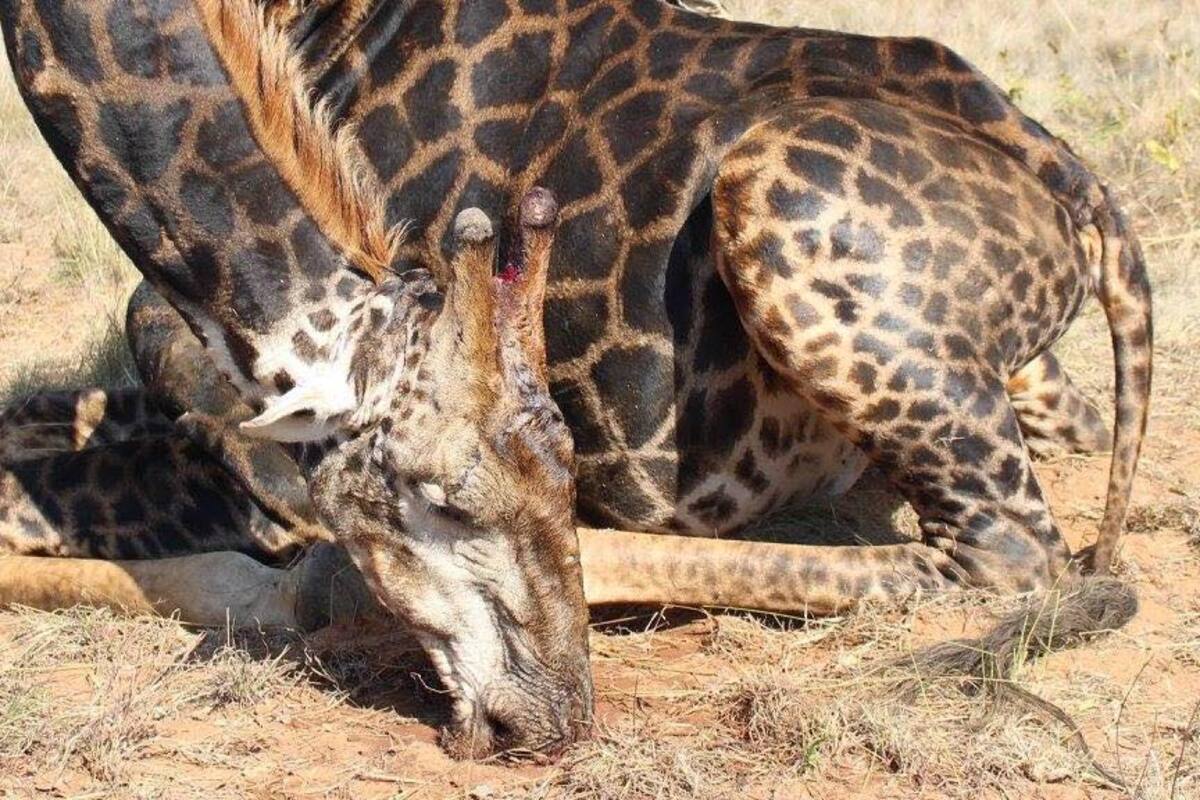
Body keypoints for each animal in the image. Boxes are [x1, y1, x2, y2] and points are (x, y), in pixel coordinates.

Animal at [0, 0, 1150, 758]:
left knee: (1011, 555)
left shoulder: (257, 460)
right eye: (448, 500)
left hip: (783, 207)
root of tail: (1075, 189)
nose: (556, 719)